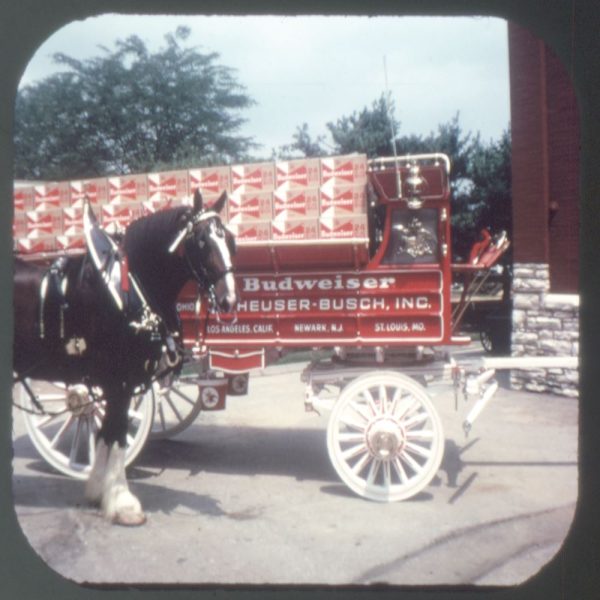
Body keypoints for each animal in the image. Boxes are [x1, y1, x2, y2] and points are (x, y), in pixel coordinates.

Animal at [12, 190, 237, 524]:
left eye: (230, 240)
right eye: (201, 242)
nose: (229, 300)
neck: (129, 291)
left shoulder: (116, 383)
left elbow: (106, 434)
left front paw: (98, 491)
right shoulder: (120, 380)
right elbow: (117, 434)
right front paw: (122, 503)